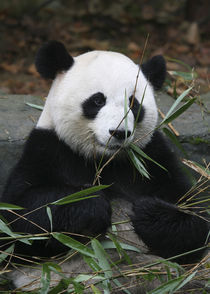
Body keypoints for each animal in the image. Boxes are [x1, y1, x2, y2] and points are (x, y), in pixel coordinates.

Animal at [0, 42, 208, 272]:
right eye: (98, 100)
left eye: (133, 103)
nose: (119, 133)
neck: (104, 160)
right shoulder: (49, 149)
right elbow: (19, 216)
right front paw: (92, 203)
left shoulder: (152, 158)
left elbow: (195, 217)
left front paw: (146, 210)